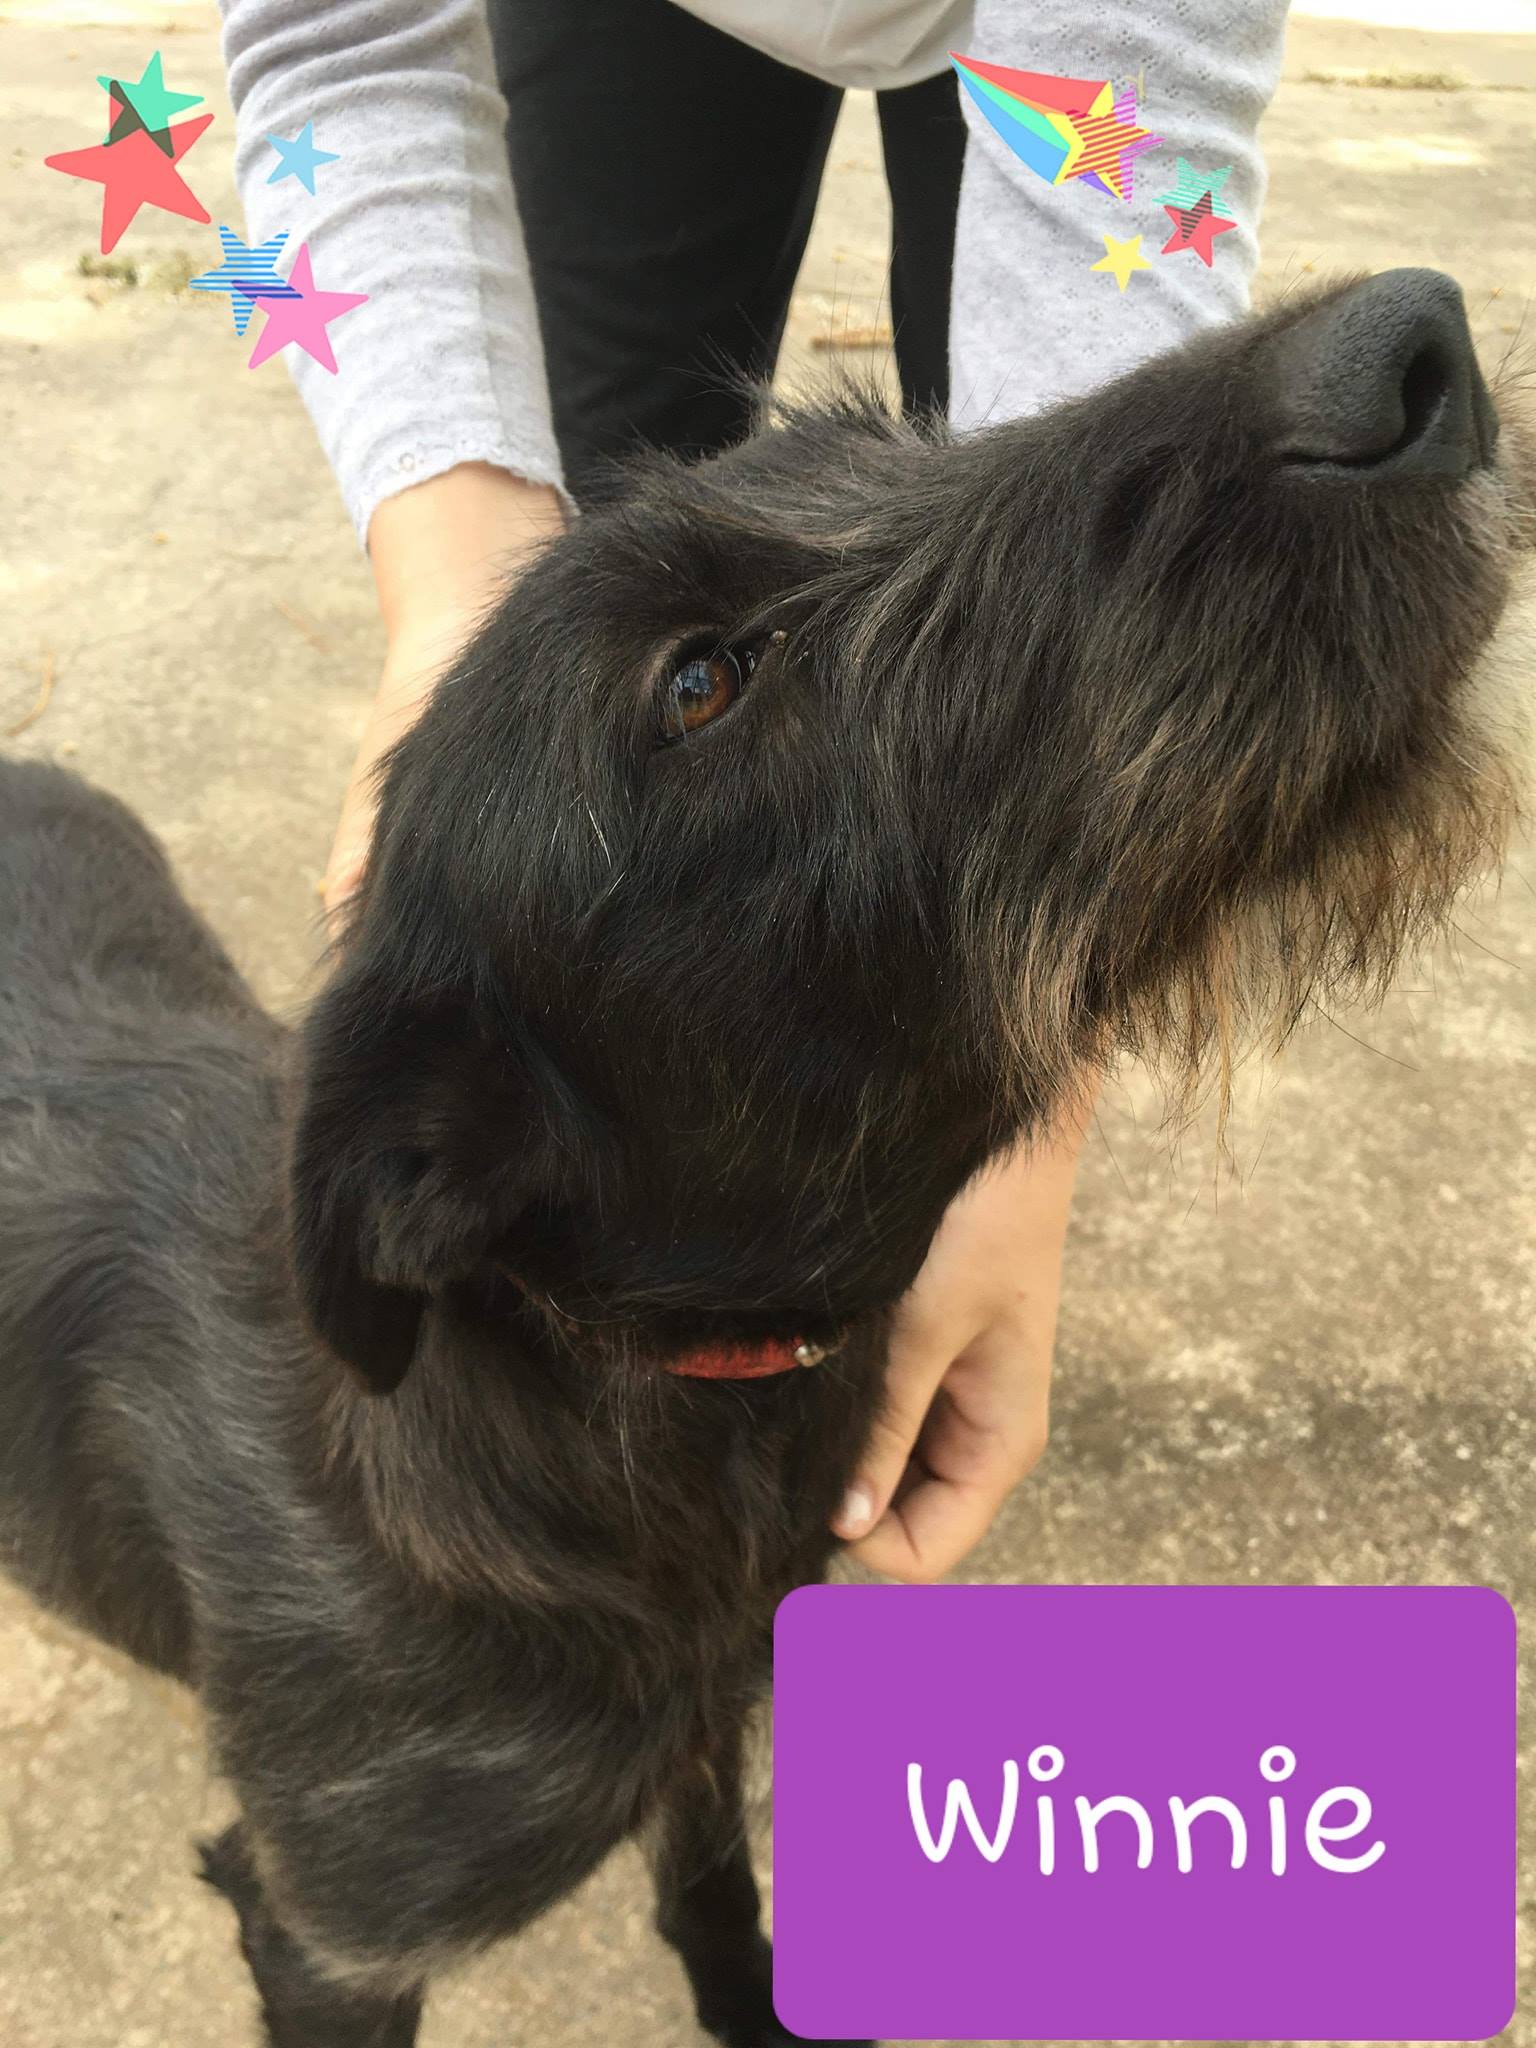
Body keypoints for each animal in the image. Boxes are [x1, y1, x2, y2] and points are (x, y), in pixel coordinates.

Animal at [0, 268, 1530, 2047]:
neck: (628, 1407)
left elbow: (715, 1896)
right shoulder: (331, 1933)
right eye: (701, 683)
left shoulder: (708, 1732)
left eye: (902, 447)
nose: (1414, 345)